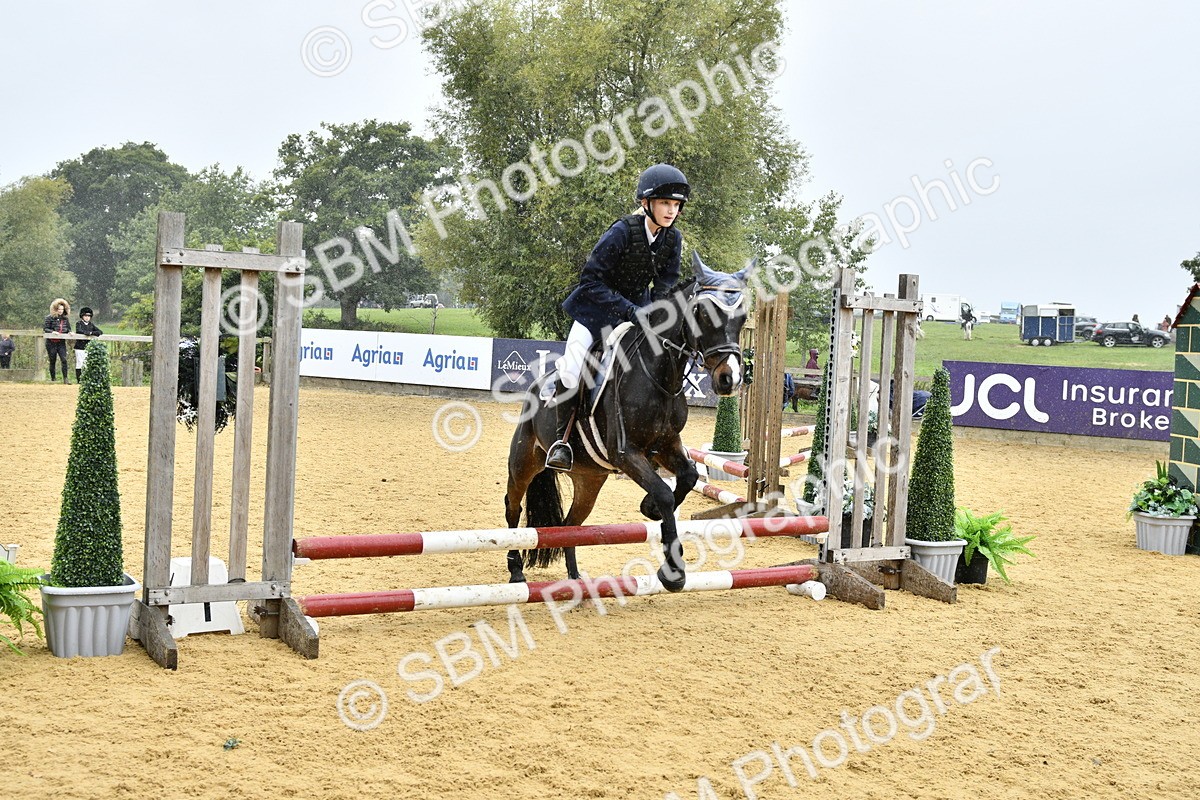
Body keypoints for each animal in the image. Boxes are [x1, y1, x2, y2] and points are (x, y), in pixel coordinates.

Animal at [504, 253, 749, 592]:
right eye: (702, 312)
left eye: (743, 317)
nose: (730, 379)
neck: (659, 374)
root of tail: (535, 386)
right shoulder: (627, 453)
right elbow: (663, 493)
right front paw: (673, 572)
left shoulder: (665, 446)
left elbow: (688, 476)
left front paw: (650, 508)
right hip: (524, 462)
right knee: (513, 509)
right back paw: (516, 571)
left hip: (589, 478)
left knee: (570, 524)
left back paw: (574, 578)